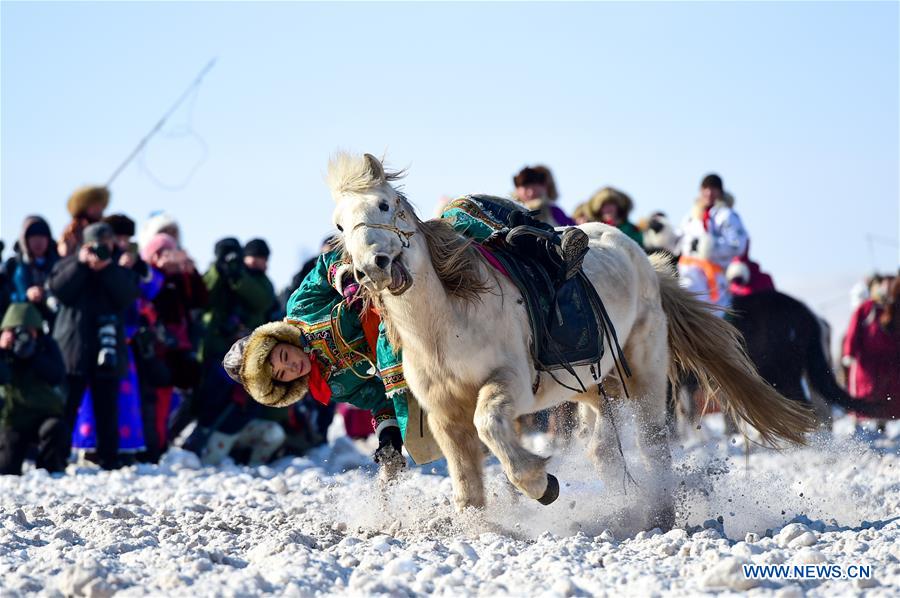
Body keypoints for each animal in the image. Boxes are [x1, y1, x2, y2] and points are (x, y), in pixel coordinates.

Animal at [328, 152, 816, 528]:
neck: (447, 323)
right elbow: (466, 481)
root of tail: (644, 260)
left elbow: (490, 425)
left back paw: (657, 516)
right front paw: (481, 528)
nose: (372, 266)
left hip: (643, 374)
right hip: (594, 387)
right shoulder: (443, 412)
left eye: (385, 204)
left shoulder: (510, 384)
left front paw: (540, 483)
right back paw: (623, 506)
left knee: (652, 445)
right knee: (604, 451)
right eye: (339, 225)